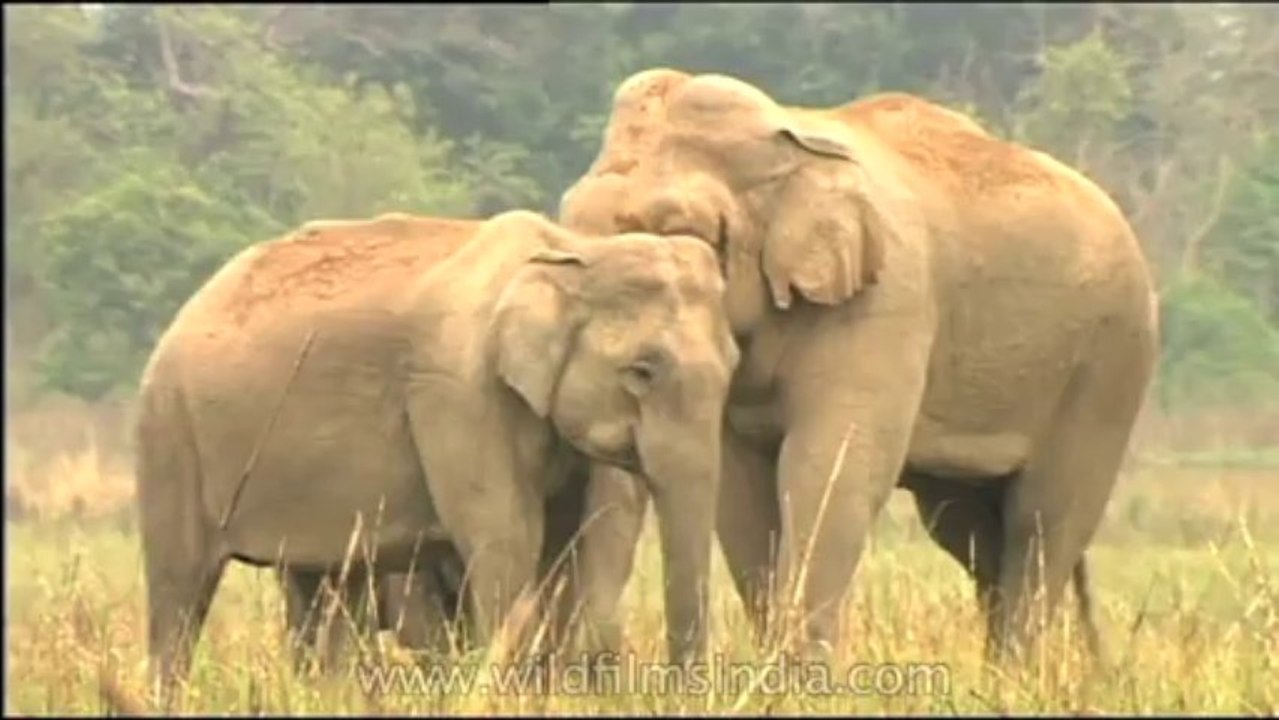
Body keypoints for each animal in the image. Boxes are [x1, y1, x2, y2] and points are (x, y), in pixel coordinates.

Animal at [133, 208, 739, 694]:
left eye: (734, 364)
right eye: (642, 371)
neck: (571, 252)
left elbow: (570, 545)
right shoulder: (457, 392)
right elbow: (509, 538)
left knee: (320, 592)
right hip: (170, 431)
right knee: (180, 589)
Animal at [557, 69, 1160, 664]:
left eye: (683, 230)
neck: (793, 136)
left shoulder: (887, 298)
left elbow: (826, 469)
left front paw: (803, 675)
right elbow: (741, 487)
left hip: (1111, 360)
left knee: (1041, 521)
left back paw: (1020, 672)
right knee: (967, 527)